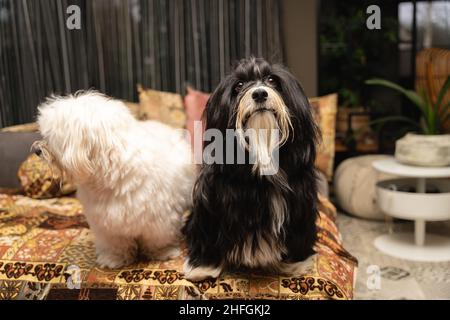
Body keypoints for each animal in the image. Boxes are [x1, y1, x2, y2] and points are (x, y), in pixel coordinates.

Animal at [35, 91, 195, 268]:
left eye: (51, 137)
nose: (36, 150)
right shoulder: (108, 225)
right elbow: (117, 244)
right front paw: (115, 259)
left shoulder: (160, 221)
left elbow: (157, 241)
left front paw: (163, 253)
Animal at [183, 57, 320, 280]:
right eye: (239, 86)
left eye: (272, 80)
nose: (259, 93)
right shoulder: (211, 199)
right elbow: (208, 230)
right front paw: (202, 266)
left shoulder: (300, 201)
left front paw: (295, 261)